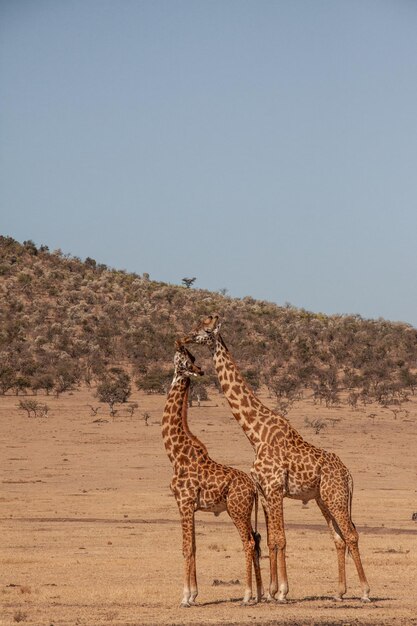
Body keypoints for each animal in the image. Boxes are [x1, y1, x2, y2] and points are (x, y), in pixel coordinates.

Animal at [161, 342, 262, 604]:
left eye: (186, 358)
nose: (199, 370)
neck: (175, 454)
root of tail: (254, 489)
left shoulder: (184, 502)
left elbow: (186, 547)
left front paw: (185, 597)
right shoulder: (189, 506)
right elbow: (194, 546)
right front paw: (194, 594)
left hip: (237, 509)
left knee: (248, 542)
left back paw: (247, 595)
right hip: (245, 510)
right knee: (257, 541)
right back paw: (259, 594)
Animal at [180, 314, 368, 604]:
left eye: (207, 330)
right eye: (197, 324)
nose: (186, 337)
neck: (255, 433)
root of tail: (348, 474)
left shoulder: (275, 487)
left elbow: (280, 538)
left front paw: (281, 592)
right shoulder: (264, 490)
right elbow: (270, 539)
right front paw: (269, 591)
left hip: (335, 497)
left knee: (351, 534)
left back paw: (365, 592)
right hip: (324, 498)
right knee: (338, 538)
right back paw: (339, 592)